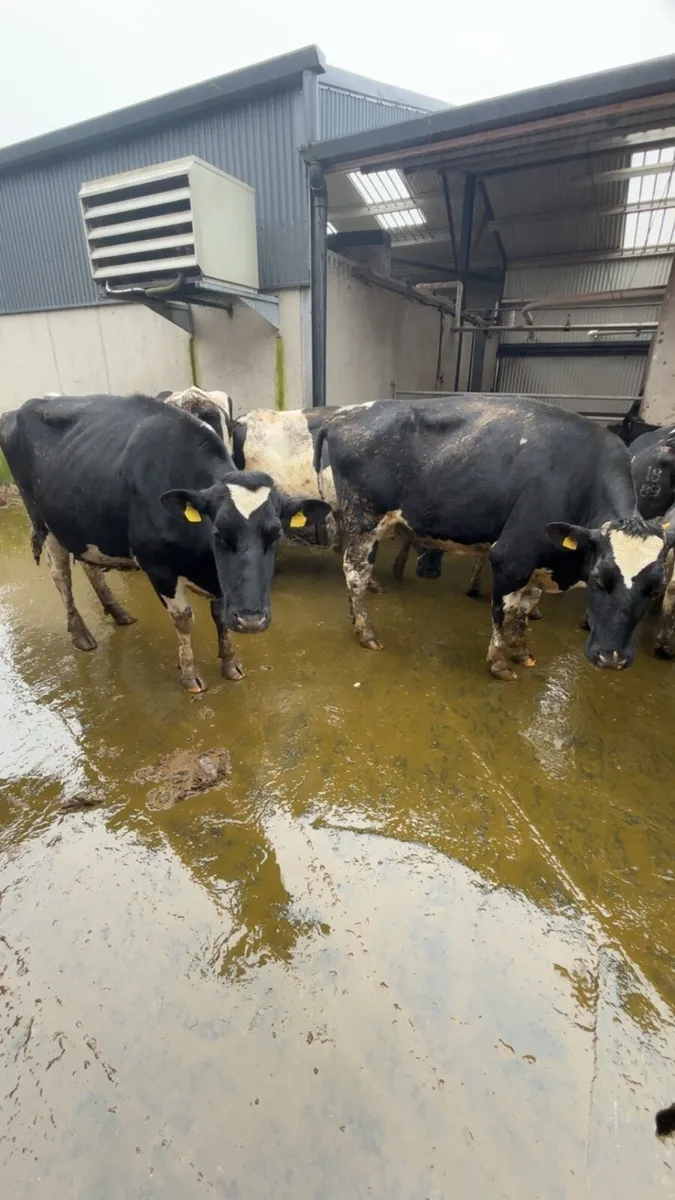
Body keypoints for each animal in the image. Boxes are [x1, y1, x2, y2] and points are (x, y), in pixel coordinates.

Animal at [0, 393, 330, 692]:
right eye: (218, 532)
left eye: (276, 534)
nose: (251, 621)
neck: (204, 563)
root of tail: (22, 406)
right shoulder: (158, 567)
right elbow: (184, 620)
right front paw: (190, 675)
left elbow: (220, 618)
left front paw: (229, 664)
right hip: (43, 522)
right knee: (62, 578)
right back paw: (80, 634)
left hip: (82, 525)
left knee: (90, 567)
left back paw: (118, 613)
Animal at [314, 395, 675, 679]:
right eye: (599, 578)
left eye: (655, 587)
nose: (611, 658)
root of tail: (344, 415)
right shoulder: (512, 555)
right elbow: (504, 609)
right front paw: (500, 661)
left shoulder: (540, 557)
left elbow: (525, 609)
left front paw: (521, 651)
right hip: (364, 520)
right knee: (356, 573)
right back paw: (365, 631)